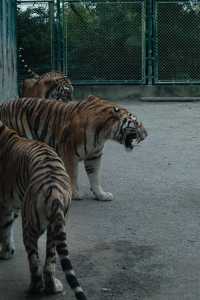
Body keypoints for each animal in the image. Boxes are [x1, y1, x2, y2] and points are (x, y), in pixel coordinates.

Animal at [0, 96, 148, 202]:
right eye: (136, 123)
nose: (146, 134)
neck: (103, 133)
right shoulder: (69, 152)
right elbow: (73, 173)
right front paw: (75, 193)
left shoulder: (94, 156)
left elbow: (95, 177)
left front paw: (101, 195)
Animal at [0, 120, 87, 298]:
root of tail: (54, 189)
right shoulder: (11, 205)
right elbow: (8, 227)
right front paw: (8, 251)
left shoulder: (3, 204)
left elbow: (4, 229)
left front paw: (4, 253)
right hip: (55, 228)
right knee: (50, 262)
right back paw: (53, 287)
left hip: (30, 225)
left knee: (35, 263)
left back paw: (34, 288)